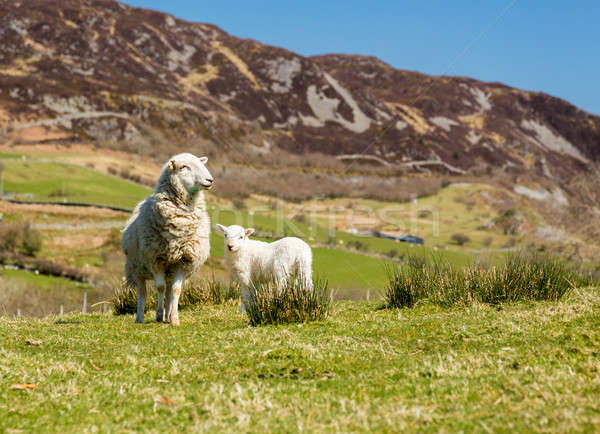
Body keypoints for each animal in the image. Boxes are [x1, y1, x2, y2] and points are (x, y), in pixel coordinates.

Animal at [121, 153, 213, 326]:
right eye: (184, 167)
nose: (210, 180)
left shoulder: (184, 261)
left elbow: (176, 290)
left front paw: (174, 318)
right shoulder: (155, 259)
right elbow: (160, 288)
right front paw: (158, 315)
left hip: (169, 270)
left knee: (170, 291)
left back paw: (168, 314)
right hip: (137, 268)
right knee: (142, 292)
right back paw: (140, 318)